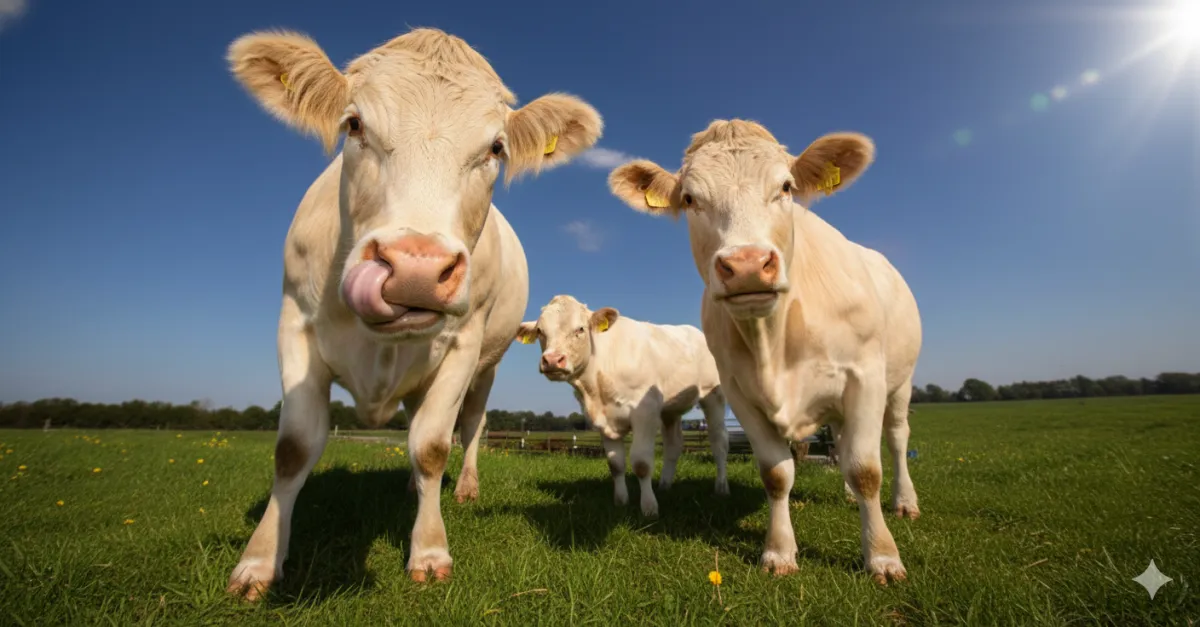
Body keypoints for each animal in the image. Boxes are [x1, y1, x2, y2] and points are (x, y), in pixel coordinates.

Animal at [223, 27, 603, 598]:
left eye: (496, 148)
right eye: (354, 124)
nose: (416, 269)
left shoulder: (464, 346)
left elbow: (432, 445)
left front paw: (428, 551)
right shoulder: (294, 326)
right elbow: (293, 448)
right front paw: (259, 563)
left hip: (486, 368)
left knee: (470, 427)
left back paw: (463, 488)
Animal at [514, 295, 729, 517]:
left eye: (580, 329)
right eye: (540, 331)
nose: (552, 360)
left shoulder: (645, 412)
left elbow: (641, 463)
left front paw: (649, 508)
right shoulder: (602, 421)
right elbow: (615, 464)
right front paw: (621, 501)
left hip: (714, 395)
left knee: (719, 441)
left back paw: (721, 487)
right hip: (670, 409)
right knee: (673, 445)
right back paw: (664, 485)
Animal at [607, 120, 922, 585]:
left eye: (786, 187)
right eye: (690, 199)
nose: (748, 265)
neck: (773, 342)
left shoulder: (864, 377)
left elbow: (866, 470)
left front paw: (882, 557)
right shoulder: (740, 392)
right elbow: (776, 473)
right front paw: (778, 551)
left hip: (901, 382)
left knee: (897, 439)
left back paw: (904, 502)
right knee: (843, 440)